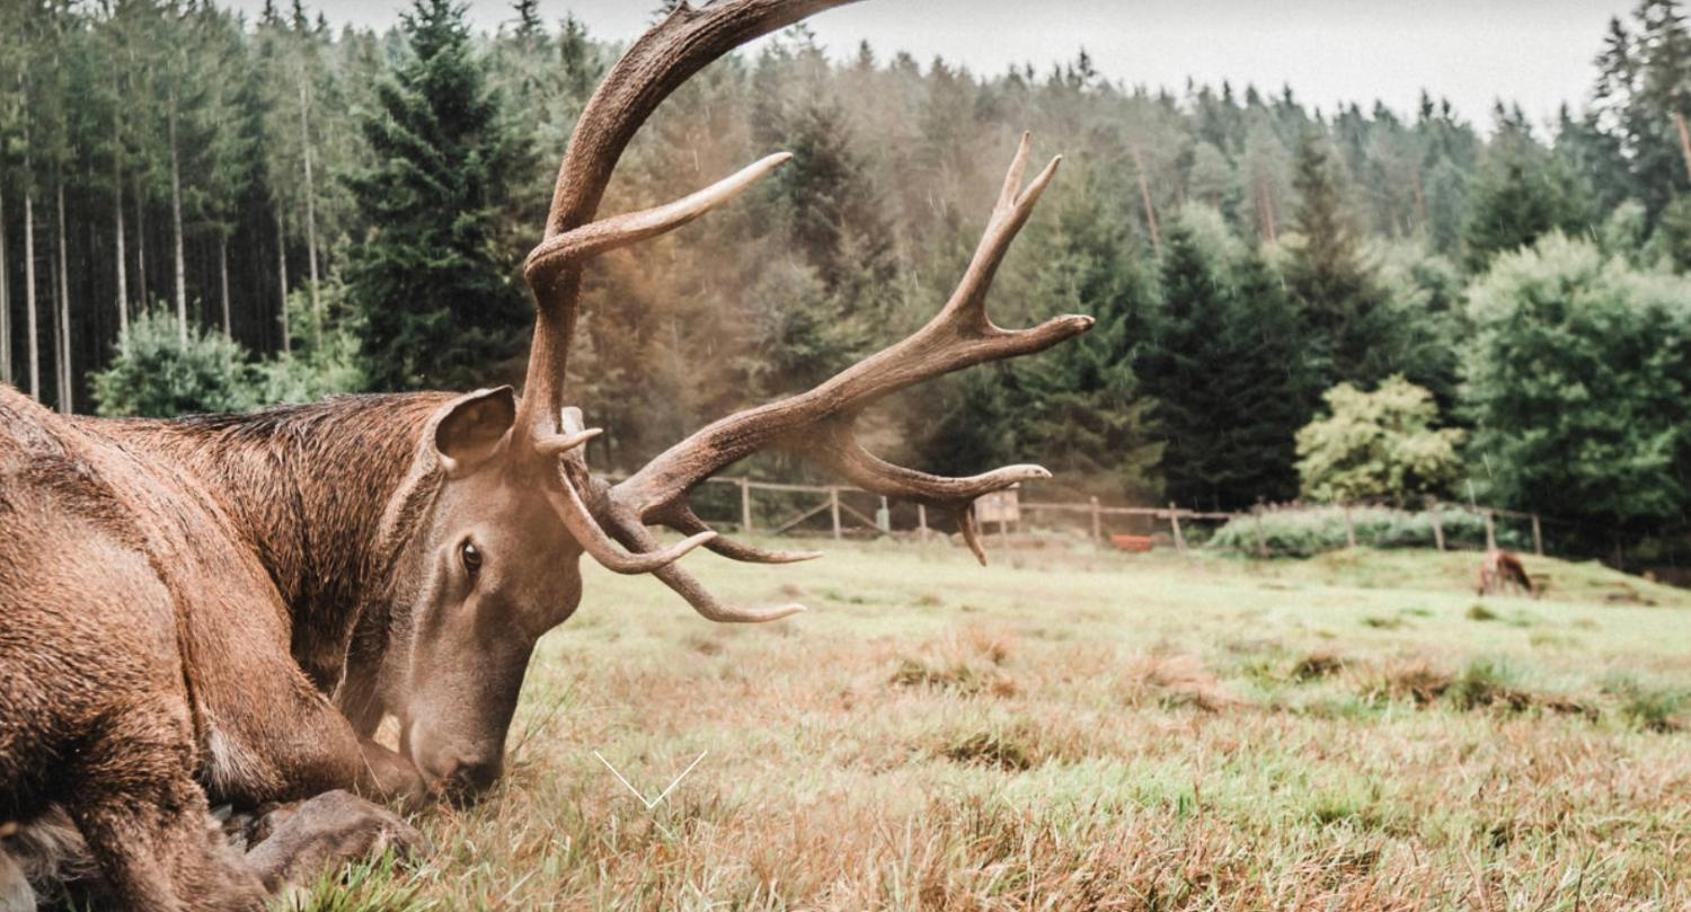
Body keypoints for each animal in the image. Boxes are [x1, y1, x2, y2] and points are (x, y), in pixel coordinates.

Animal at [3, 3, 1095, 906]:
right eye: (467, 553)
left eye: (564, 604)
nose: (469, 772)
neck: (286, 558)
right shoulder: (253, 688)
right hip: (120, 643)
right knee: (199, 876)